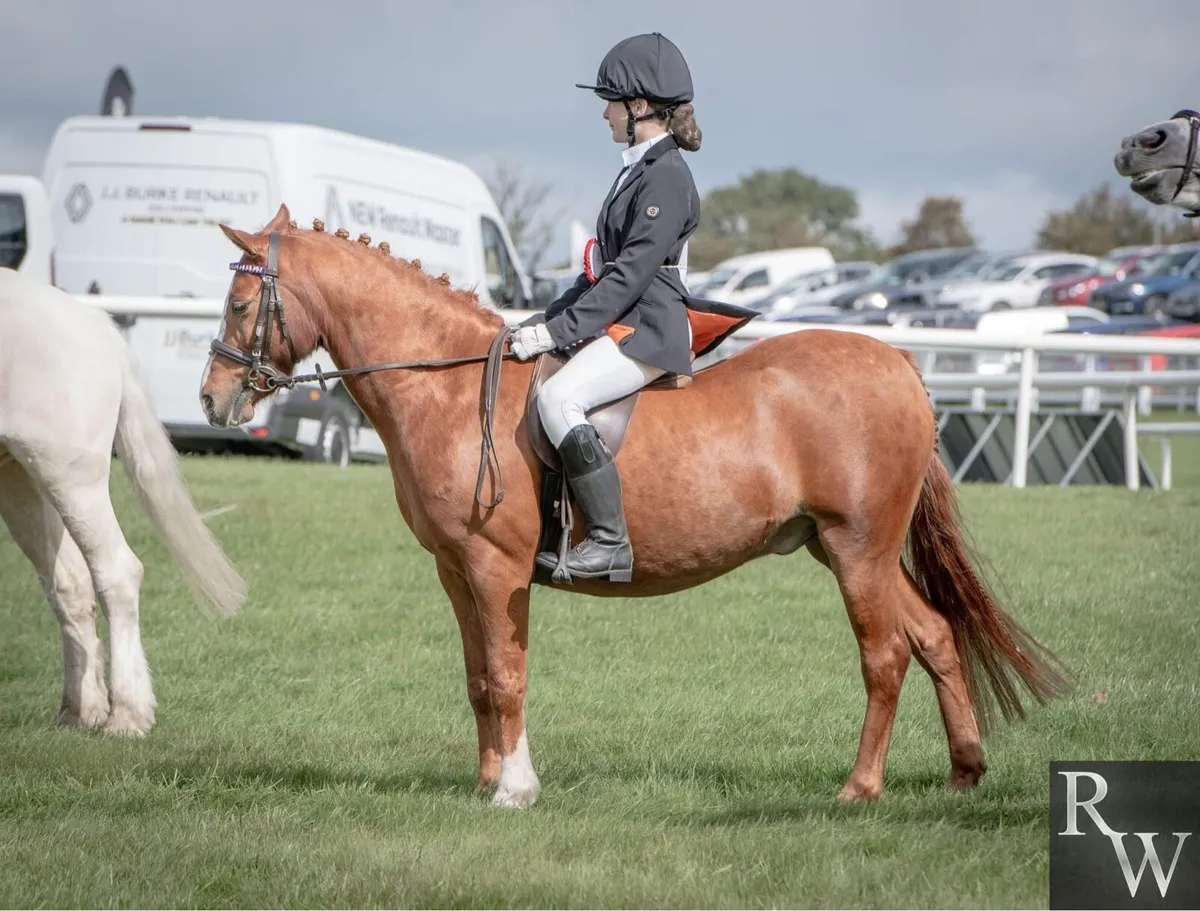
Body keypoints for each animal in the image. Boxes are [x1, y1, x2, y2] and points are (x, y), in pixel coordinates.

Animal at [0, 267, 246, 735]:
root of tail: (93, 323)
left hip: (65, 471)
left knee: (116, 571)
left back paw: (127, 714)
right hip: (18, 475)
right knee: (69, 583)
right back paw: (81, 710)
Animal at [200, 204, 1071, 809]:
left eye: (241, 306)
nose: (213, 399)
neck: (448, 386)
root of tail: (899, 363)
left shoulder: (495, 567)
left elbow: (508, 673)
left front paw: (516, 788)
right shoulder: (454, 569)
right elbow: (478, 676)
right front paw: (486, 780)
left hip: (858, 548)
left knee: (886, 654)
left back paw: (859, 788)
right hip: (847, 548)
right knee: (934, 634)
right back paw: (964, 771)